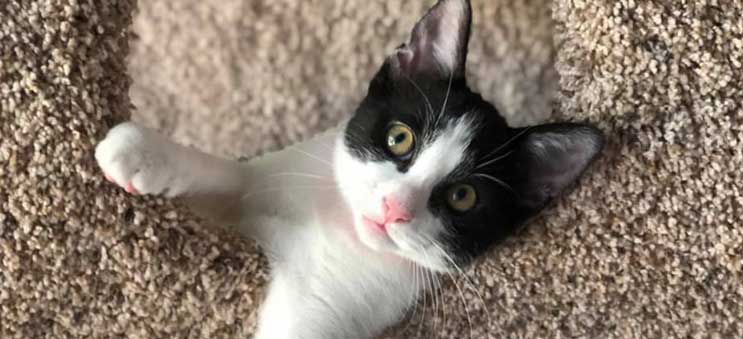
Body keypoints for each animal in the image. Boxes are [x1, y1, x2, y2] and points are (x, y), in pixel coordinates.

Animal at [94, 1, 604, 338]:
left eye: (463, 198)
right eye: (400, 138)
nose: (394, 208)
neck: (337, 226)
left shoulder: (342, 305)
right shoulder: (272, 179)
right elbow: (232, 179)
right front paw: (138, 151)